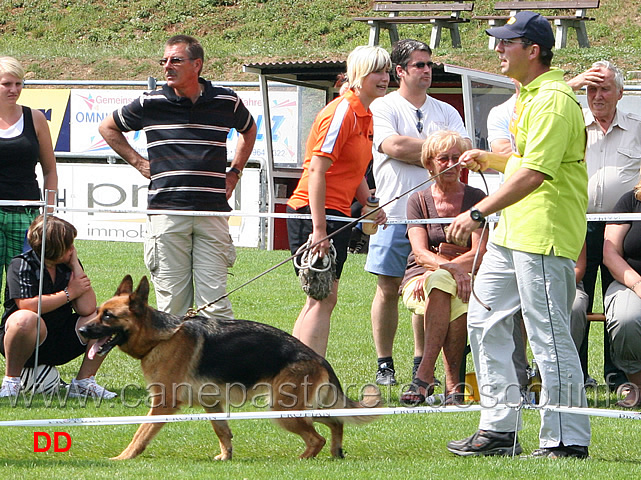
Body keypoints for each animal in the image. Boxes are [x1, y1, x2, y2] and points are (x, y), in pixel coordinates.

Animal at [80, 278, 380, 462]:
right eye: (98, 312)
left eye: (108, 316)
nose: (81, 330)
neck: (161, 337)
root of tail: (317, 356)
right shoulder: (211, 403)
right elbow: (222, 431)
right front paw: (226, 457)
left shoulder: (163, 405)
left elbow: (140, 433)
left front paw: (124, 458)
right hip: (302, 407)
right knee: (337, 421)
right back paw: (336, 451)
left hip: (283, 410)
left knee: (316, 438)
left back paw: (304, 459)